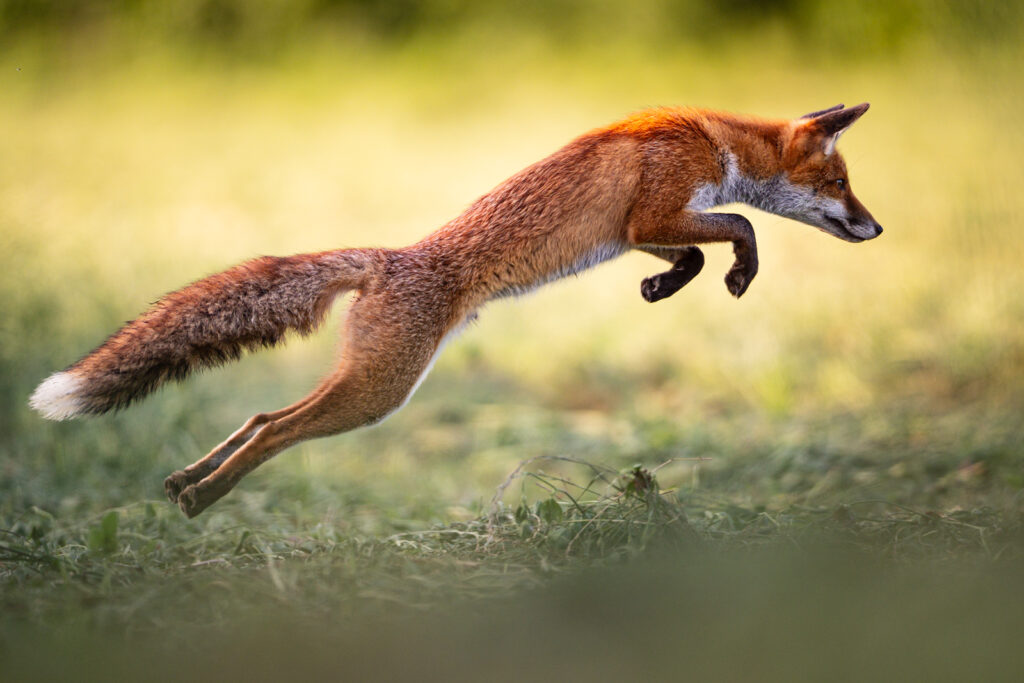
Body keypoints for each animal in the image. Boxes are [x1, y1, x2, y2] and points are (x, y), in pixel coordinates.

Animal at [30, 103, 882, 518]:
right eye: (841, 185)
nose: (877, 228)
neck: (712, 140)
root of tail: (394, 257)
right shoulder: (653, 215)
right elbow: (738, 227)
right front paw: (734, 272)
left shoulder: (639, 231)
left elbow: (695, 249)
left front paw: (663, 288)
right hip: (378, 392)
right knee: (275, 429)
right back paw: (204, 496)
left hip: (366, 381)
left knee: (262, 415)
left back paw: (185, 481)